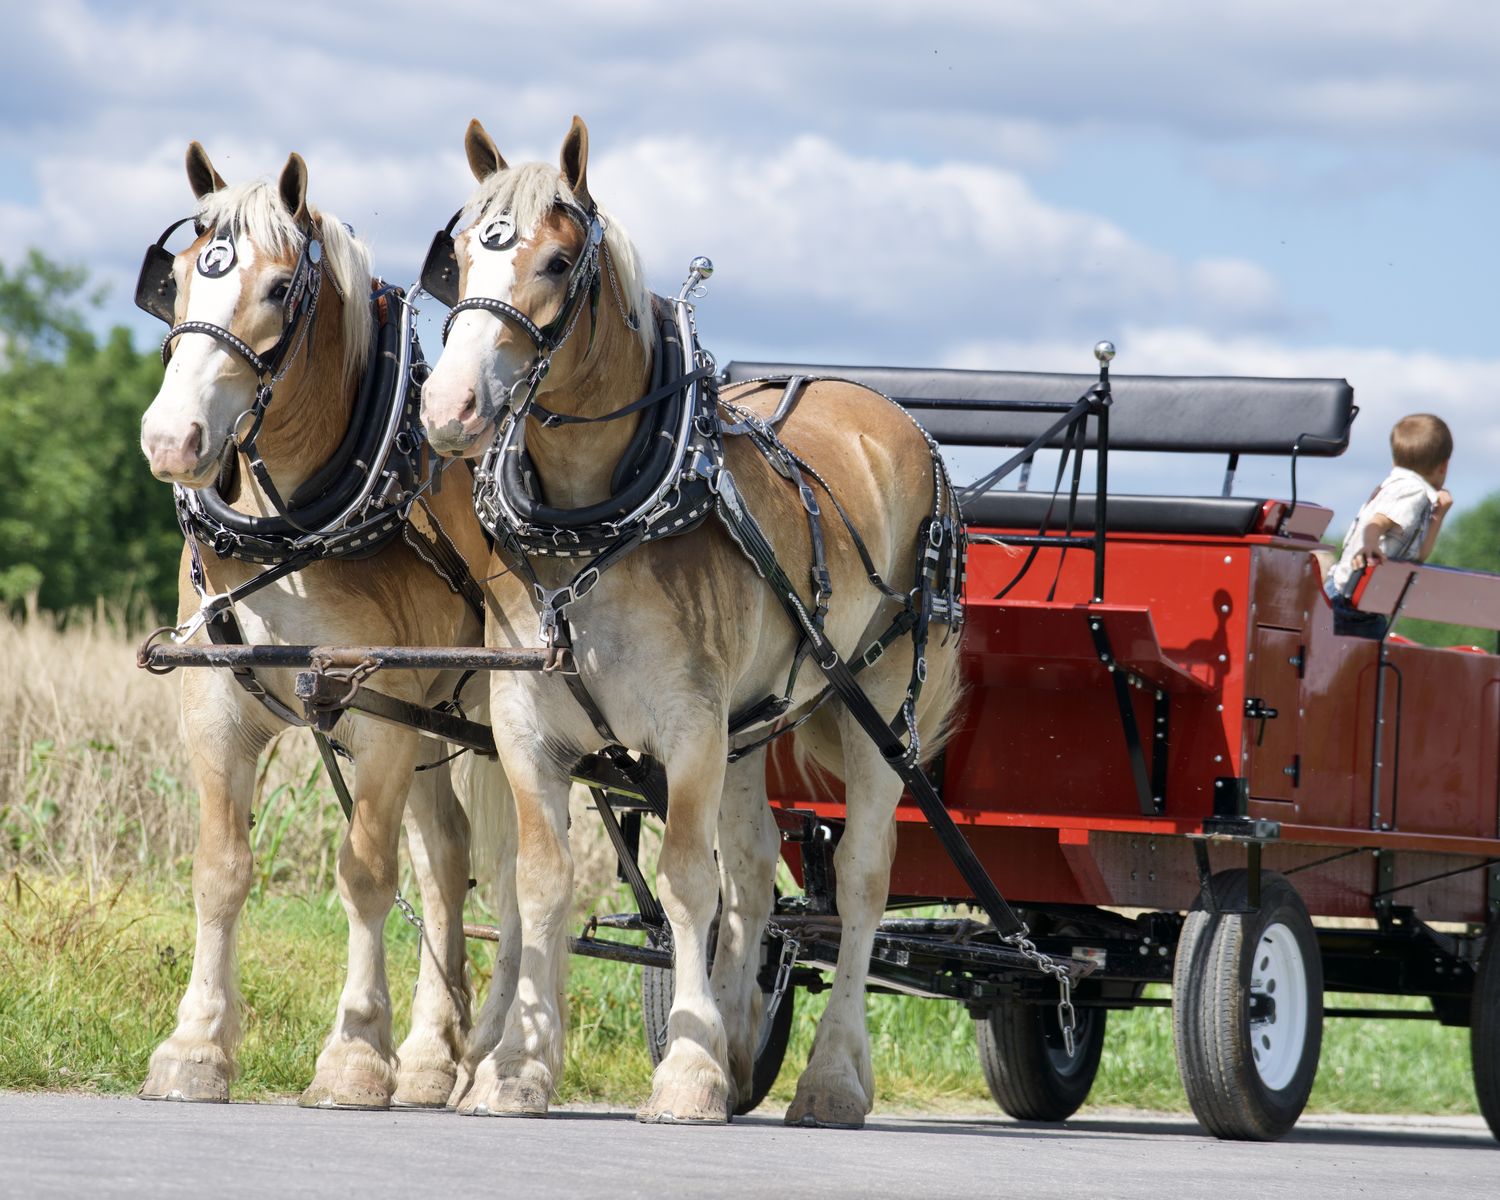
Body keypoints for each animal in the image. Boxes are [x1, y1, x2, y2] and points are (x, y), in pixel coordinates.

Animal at [136, 143, 521, 1109]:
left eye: (280, 290)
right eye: (178, 280)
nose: (171, 439)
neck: (292, 532)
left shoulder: (379, 712)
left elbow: (364, 875)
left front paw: (353, 1054)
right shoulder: (217, 714)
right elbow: (221, 871)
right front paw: (195, 1045)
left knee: (509, 866)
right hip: (434, 720)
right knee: (448, 858)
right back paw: (433, 1056)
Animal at [420, 116, 963, 1127]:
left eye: (557, 262)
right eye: (464, 253)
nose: (449, 407)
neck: (595, 523)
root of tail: (889, 414)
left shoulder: (689, 727)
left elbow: (682, 883)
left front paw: (687, 1070)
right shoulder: (526, 729)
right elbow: (543, 885)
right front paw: (516, 1068)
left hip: (876, 699)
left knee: (861, 881)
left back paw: (832, 1077)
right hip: (754, 721)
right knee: (753, 878)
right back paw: (747, 1045)